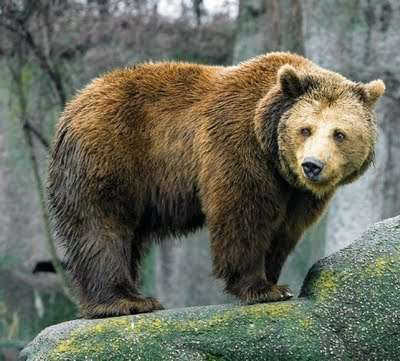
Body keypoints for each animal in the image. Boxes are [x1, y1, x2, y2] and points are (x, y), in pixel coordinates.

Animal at [47, 52, 384, 316]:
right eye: (306, 129)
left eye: (339, 133)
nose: (312, 165)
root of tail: (74, 103)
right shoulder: (236, 144)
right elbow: (243, 213)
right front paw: (261, 288)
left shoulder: (296, 192)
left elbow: (284, 229)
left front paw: (274, 279)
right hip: (110, 150)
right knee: (101, 224)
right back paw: (125, 301)